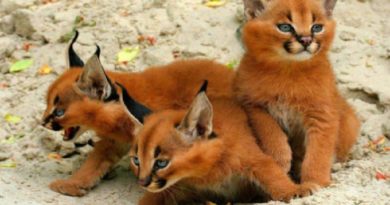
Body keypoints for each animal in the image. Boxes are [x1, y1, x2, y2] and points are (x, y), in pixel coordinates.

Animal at [123, 82, 318, 205]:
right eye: (136, 160)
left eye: (161, 163)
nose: (142, 182)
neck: (206, 172)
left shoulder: (254, 159)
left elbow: (272, 174)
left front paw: (294, 190)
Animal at [235, 0, 360, 187]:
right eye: (285, 27)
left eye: (317, 27)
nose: (306, 40)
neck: (289, 70)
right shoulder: (253, 105)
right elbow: (270, 130)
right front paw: (280, 160)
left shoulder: (322, 114)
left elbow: (319, 151)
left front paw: (316, 181)